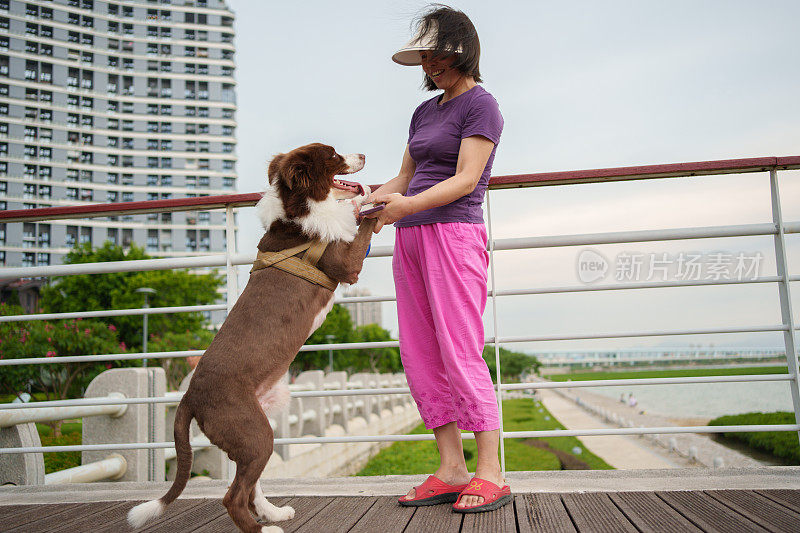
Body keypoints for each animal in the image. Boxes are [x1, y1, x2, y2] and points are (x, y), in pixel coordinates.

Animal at [130, 142, 380, 532]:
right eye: (333, 155)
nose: (364, 155)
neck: (296, 211)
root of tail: (189, 397)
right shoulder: (344, 264)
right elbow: (362, 220)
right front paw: (373, 200)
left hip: (254, 433)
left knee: (250, 487)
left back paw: (273, 513)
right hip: (254, 434)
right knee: (233, 496)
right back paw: (266, 527)